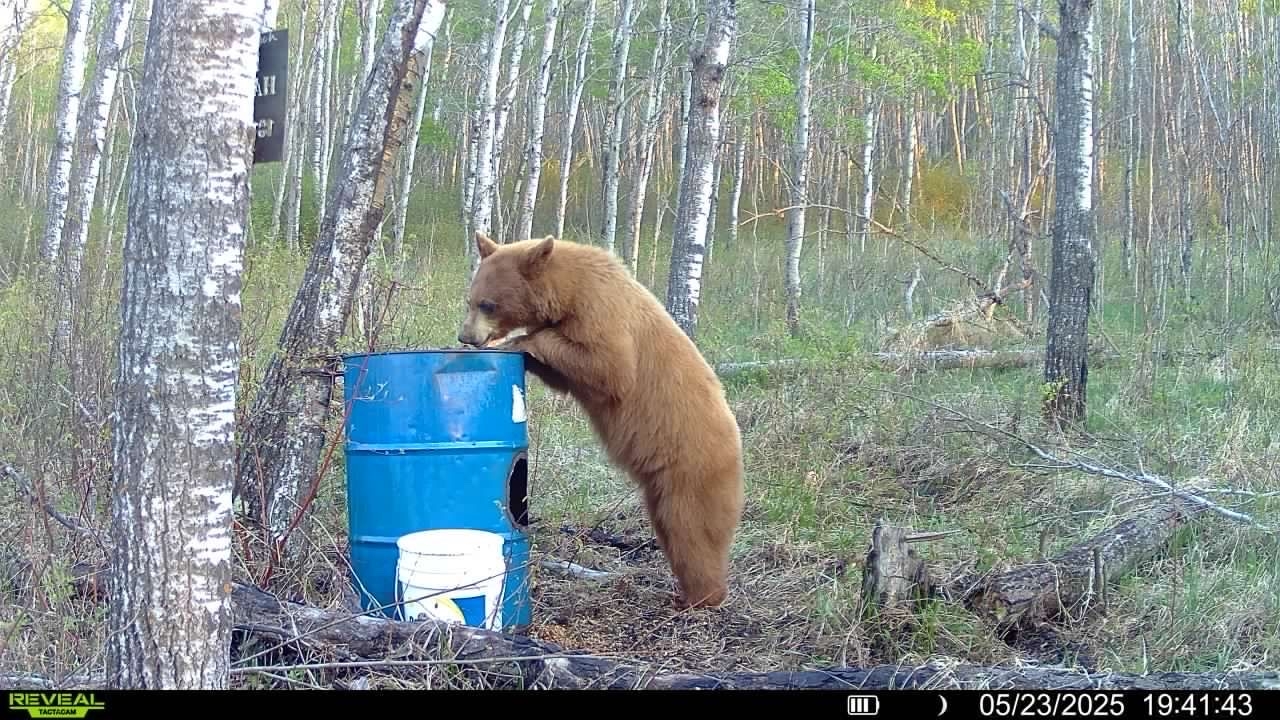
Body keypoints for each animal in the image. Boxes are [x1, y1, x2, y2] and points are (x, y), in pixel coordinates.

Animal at [457, 232, 745, 609]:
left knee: (693, 532)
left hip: (692, 470)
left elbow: (607, 366)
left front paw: (518, 341)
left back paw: (701, 597)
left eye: (488, 304)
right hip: (661, 486)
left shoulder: (602, 314)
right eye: (470, 300)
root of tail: (736, 443)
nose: (465, 337)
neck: (569, 290)